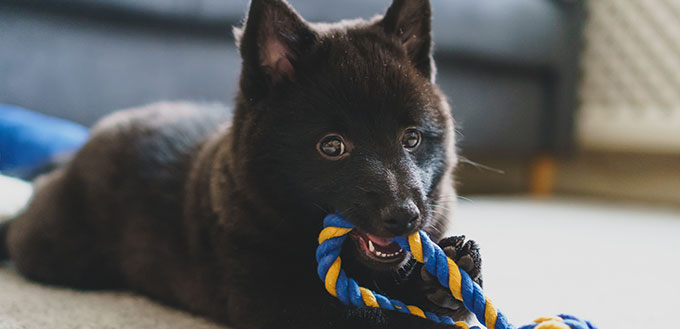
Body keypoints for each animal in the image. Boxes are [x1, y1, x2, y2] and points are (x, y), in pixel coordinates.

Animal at [2, 1, 486, 326]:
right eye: (332, 146)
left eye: (412, 139)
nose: (404, 216)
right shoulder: (277, 301)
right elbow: (370, 317)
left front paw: (446, 277)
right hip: (56, 249)